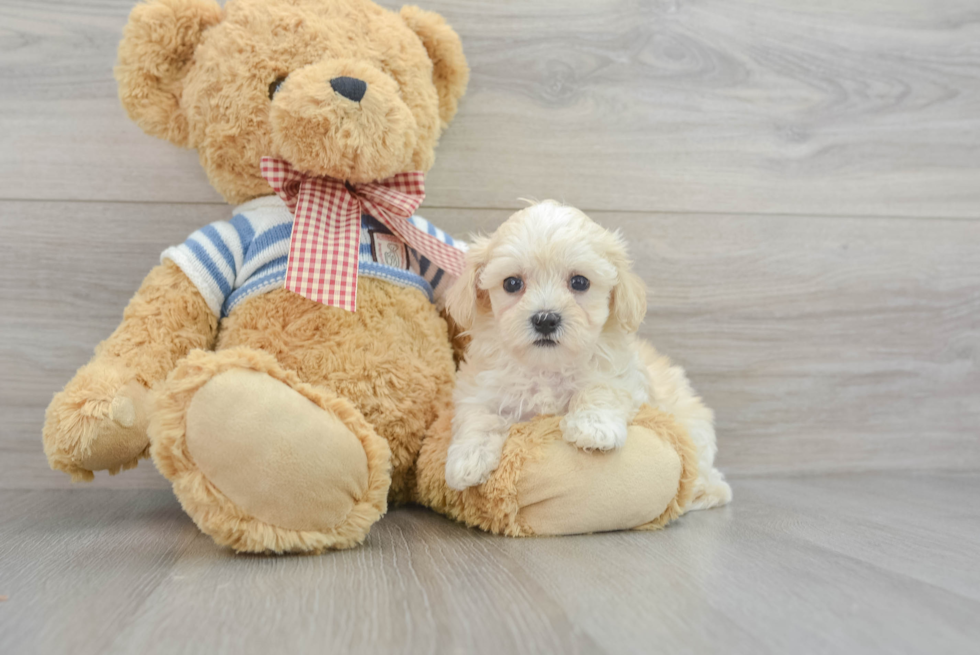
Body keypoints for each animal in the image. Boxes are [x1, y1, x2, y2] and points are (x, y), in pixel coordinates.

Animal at [442, 200, 728, 512]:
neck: (546, 367)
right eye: (512, 284)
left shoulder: (622, 374)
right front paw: (467, 460)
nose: (545, 319)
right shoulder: (479, 387)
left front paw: (593, 428)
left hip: (693, 426)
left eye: (579, 282)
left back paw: (703, 491)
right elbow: (478, 417)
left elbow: (601, 388)